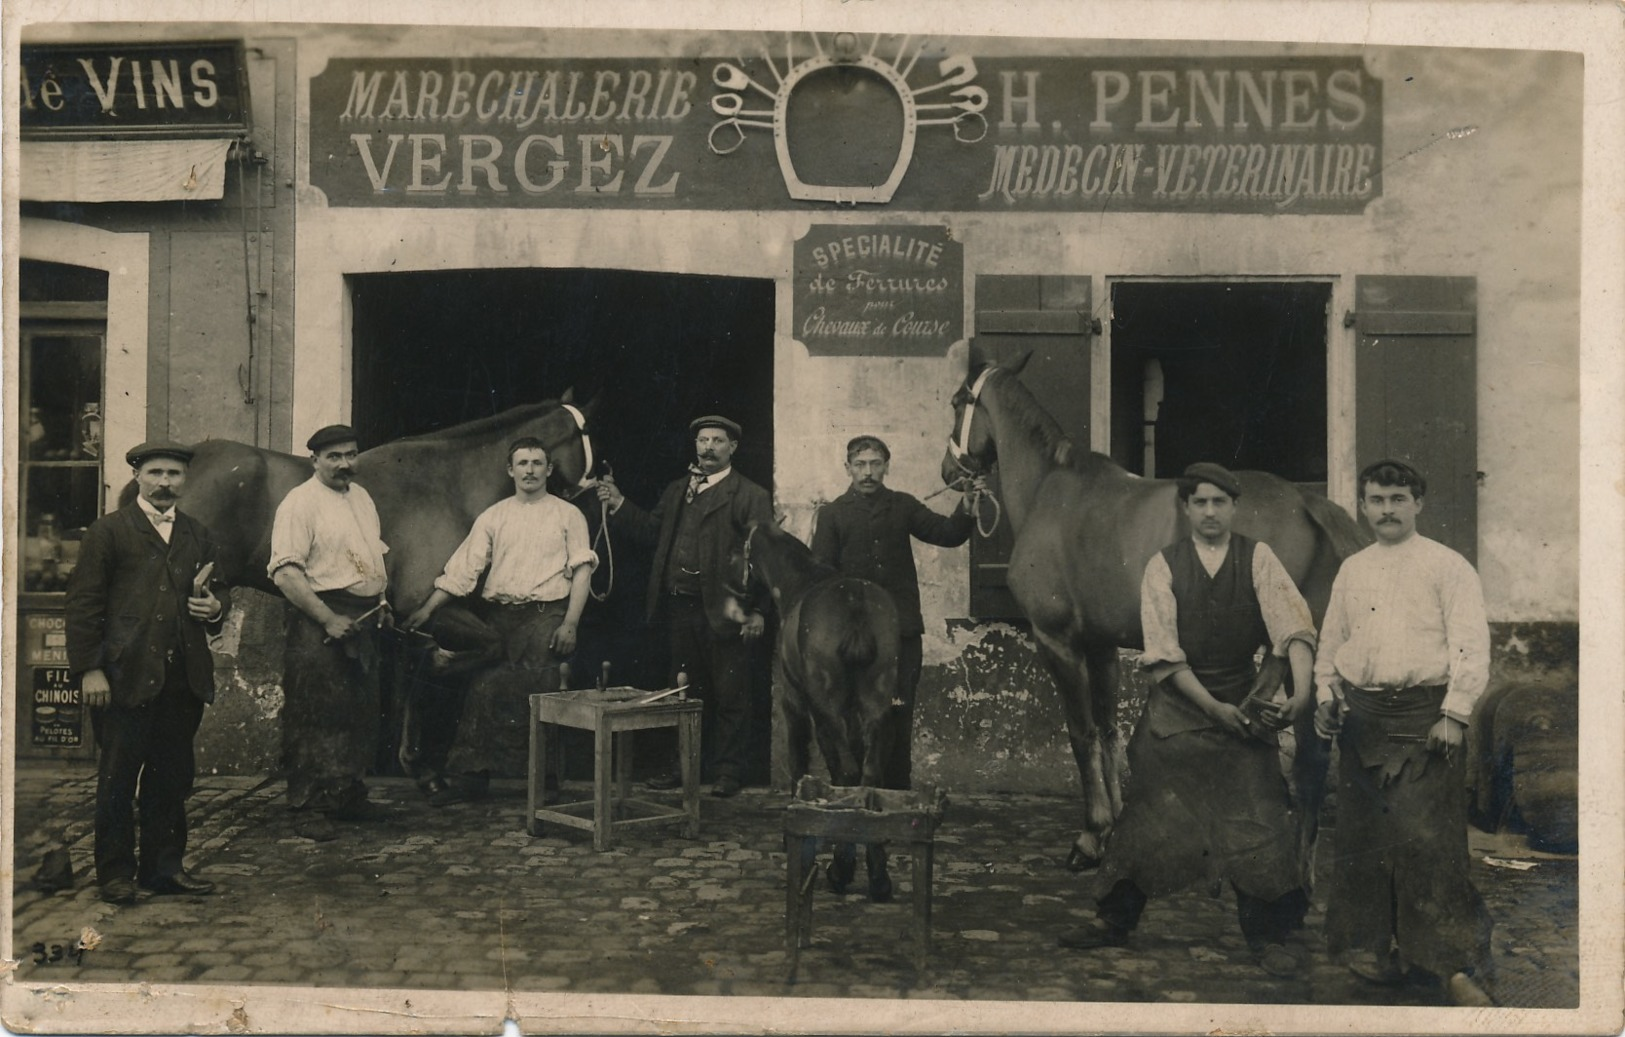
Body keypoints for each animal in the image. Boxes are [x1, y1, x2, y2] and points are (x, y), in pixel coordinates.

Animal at [724, 523, 903, 903]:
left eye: (738, 550)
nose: (734, 590)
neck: (799, 581)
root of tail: (855, 606)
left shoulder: (794, 702)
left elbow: (799, 761)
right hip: (876, 704)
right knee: (869, 776)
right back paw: (877, 875)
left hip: (827, 708)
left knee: (847, 772)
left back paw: (842, 867)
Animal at [949, 354, 1365, 871]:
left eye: (956, 402)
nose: (948, 470)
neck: (1051, 488)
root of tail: (1306, 501)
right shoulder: (1101, 645)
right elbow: (1108, 728)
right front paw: (1114, 824)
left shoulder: (1057, 641)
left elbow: (1082, 732)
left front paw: (1091, 835)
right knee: (1312, 754)